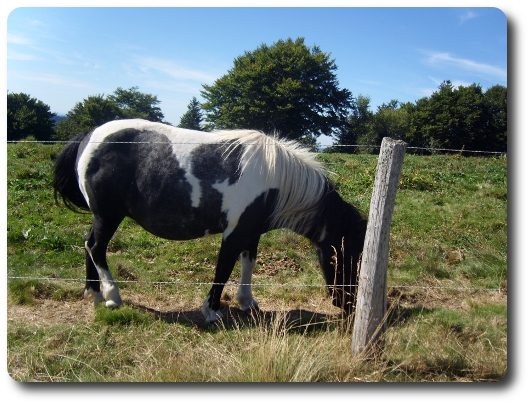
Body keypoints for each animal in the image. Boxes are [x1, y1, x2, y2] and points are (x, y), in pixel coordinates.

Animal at [53, 117, 368, 322]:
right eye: (350, 256)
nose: (350, 305)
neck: (275, 180)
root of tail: (88, 136)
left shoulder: (251, 232)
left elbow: (248, 263)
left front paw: (246, 301)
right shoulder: (234, 234)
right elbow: (223, 269)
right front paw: (212, 310)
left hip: (101, 217)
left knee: (89, 245)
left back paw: (93, 293)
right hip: (109, 216)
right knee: (96, 247)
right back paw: (112, 296)